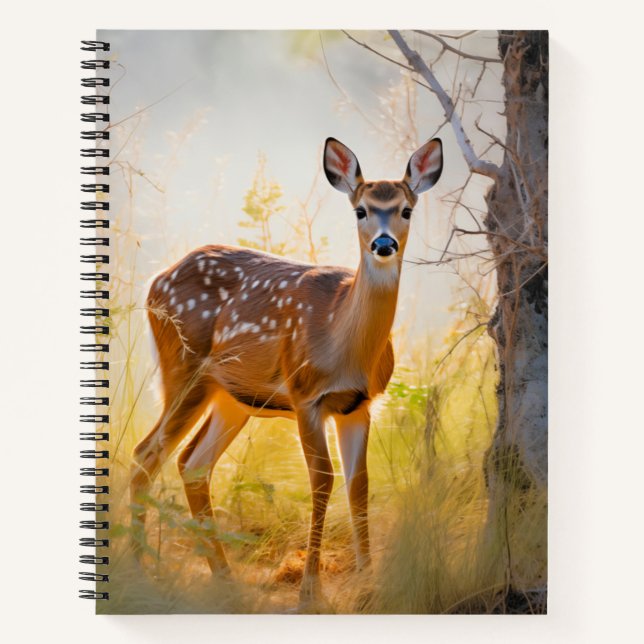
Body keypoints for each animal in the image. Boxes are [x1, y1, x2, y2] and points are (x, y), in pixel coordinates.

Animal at [131, 136, 443, 608]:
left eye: (406, 209)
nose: (384, 244)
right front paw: (310, 594)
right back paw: (139, 569)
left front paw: (369, 588)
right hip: (183, 369)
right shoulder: (305, 395)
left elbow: (359, 484)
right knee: (145, 455)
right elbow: (322, 481)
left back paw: (225, 581)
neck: (342, 341)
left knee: (192, 464)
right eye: (361, 210)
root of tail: (155, 282)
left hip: (233, 397)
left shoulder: (360, 405)